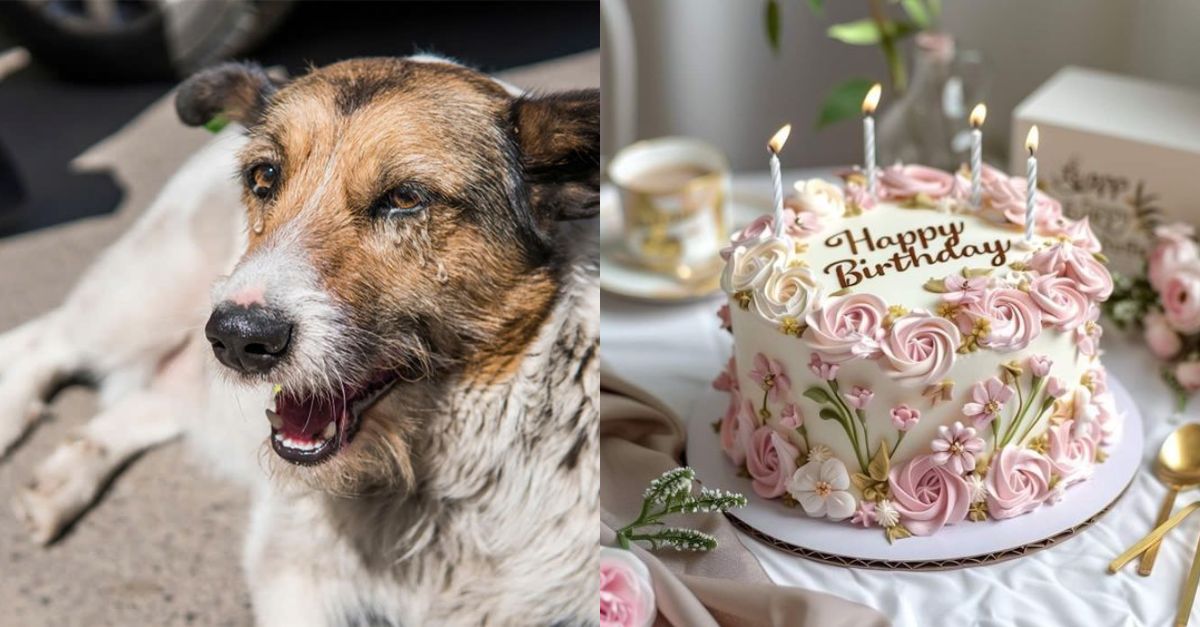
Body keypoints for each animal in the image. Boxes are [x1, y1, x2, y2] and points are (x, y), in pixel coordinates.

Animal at [0, 56, 600, 619]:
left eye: (406, 198)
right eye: (264, 176)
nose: (238, 339)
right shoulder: (290, 570)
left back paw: (65, 479)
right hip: (143, 300)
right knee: (46, 337)